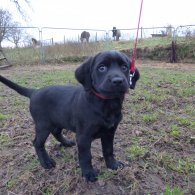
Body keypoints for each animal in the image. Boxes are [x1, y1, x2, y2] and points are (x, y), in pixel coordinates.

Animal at [0, 50, 140, 181]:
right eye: (102, 68)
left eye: (124, 67)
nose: (118, 81)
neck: (107, 103)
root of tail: (34, 92)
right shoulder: (83, 136)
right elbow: (86, 156)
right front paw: (88, 173)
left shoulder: (110, 131)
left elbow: (108, 150)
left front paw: (112, 164)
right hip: (43, 125)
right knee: (37, 143)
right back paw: (46, 162)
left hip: (59, 119)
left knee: (56, 132)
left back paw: (66, 142)